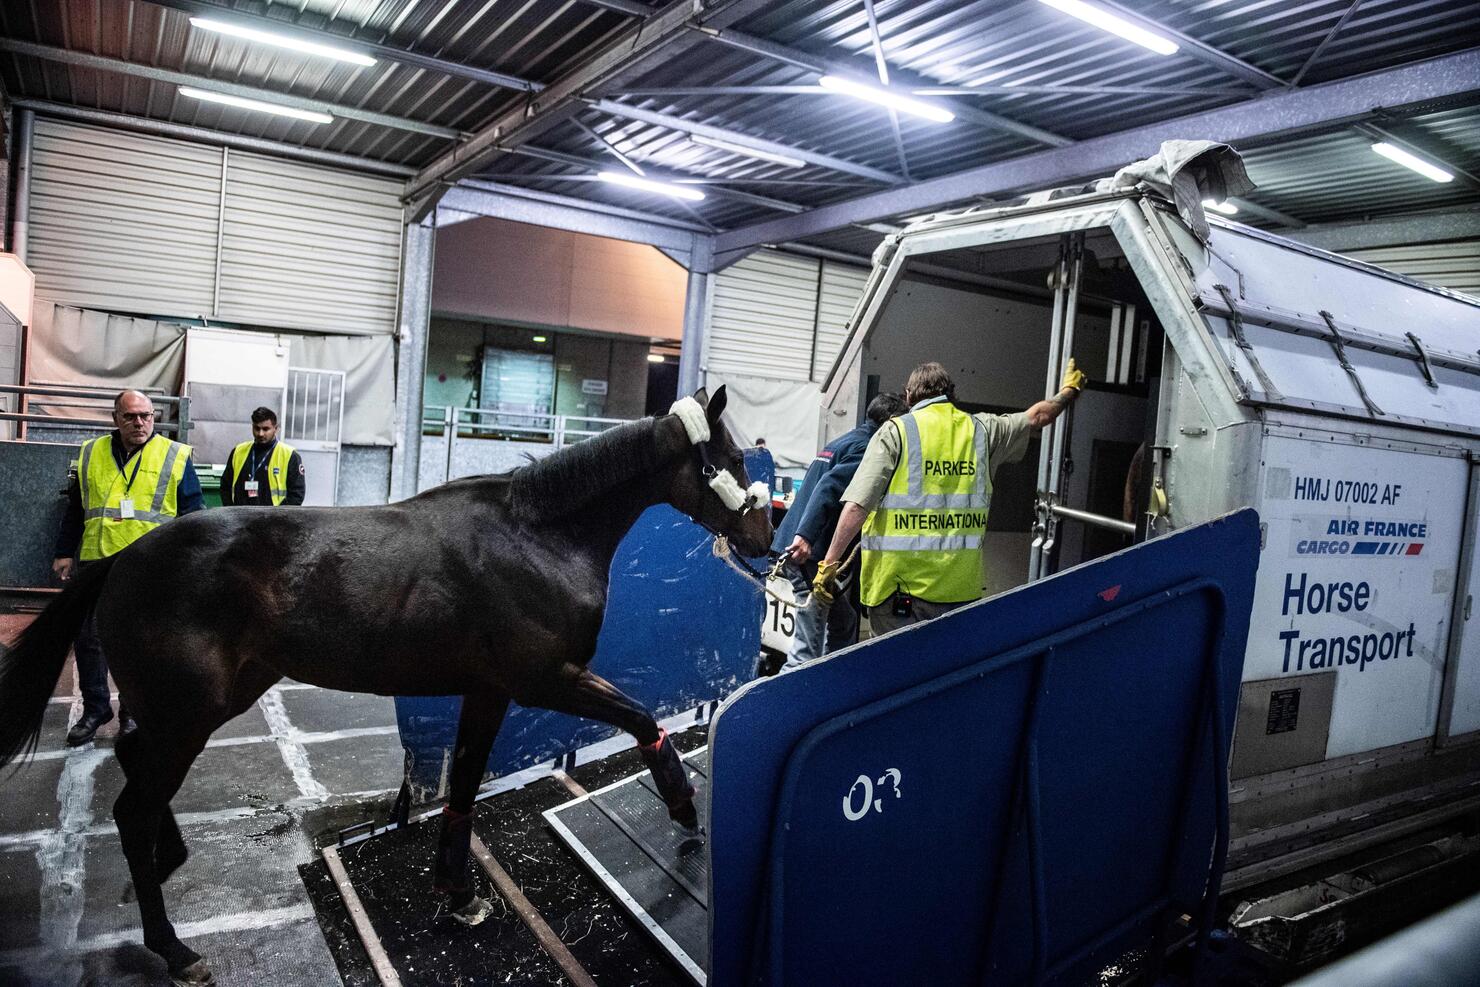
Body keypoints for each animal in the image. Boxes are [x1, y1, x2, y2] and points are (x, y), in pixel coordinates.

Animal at [0, 387, 769, 987]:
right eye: (731, 461)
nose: (765, 534)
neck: (538, 535)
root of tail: (124, 558)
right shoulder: (545, 680)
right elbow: (640, 717)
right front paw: (684, 810)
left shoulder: (489, 691)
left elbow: (464, 788)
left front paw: (458, 894)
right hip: (188, 713)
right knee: (132, 807)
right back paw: (175, 947)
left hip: (197, 706)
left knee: (136, 768)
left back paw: (168, 861)